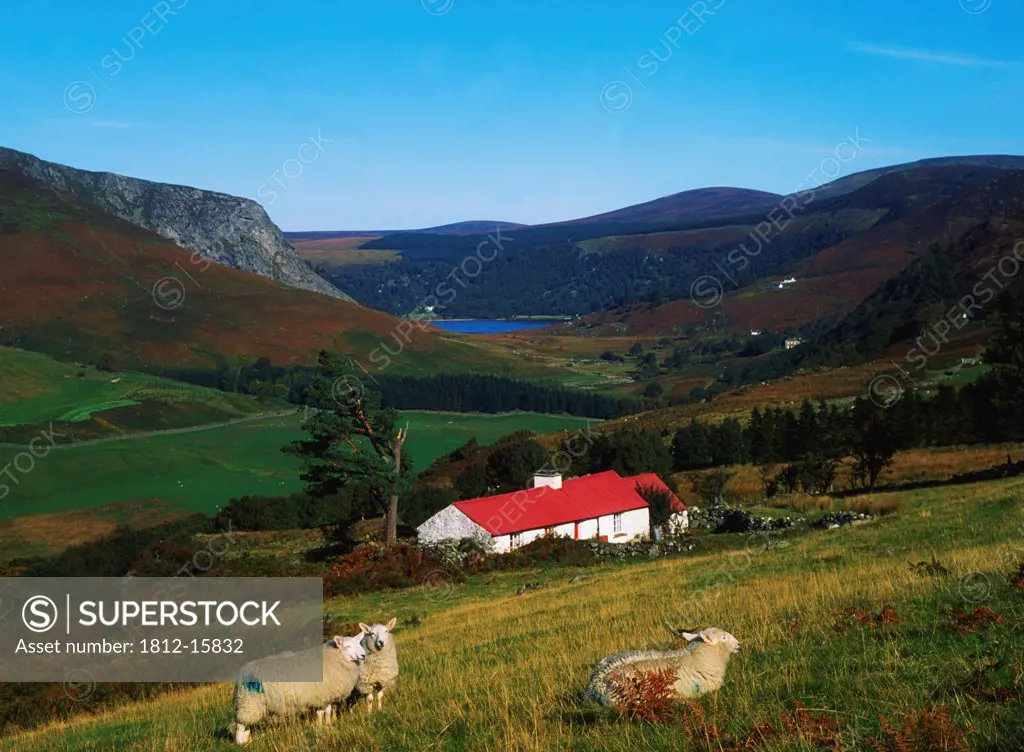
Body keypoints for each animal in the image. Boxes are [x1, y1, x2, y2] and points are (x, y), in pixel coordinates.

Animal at [230, 635, 366, 749]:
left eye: (359, 643)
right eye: (347, 646)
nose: (364, 655)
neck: (333, 658)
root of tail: (243, 672)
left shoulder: (326, 695)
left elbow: (327, 712)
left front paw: (328, 724)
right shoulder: (320, 696)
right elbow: (321, 713)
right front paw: (320, 726)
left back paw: (247, 739)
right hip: (249, 701)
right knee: (241, 724)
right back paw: (240, 742)